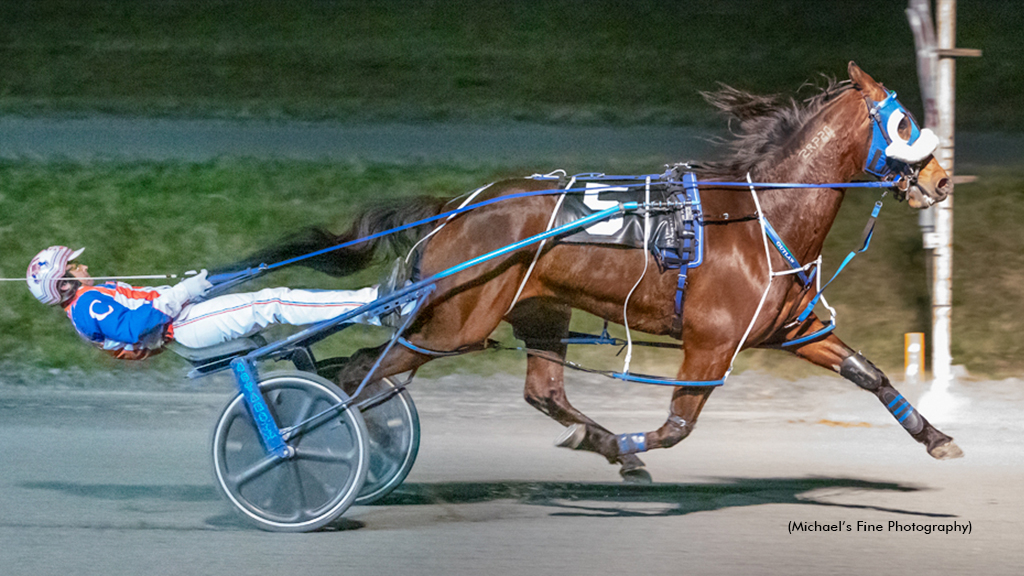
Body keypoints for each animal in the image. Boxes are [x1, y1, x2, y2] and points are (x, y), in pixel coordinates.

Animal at [239, 60, 958, 477]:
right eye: (903, 123)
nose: (942, 180)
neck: (761, 218)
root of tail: (457, 207)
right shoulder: (711, 343)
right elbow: (676, 426)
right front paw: (625, 450)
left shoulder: (791, 329)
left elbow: (869, 373)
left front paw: (938, 438)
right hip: (454, 323)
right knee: (364, 371)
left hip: (537, 310)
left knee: (542, 391)